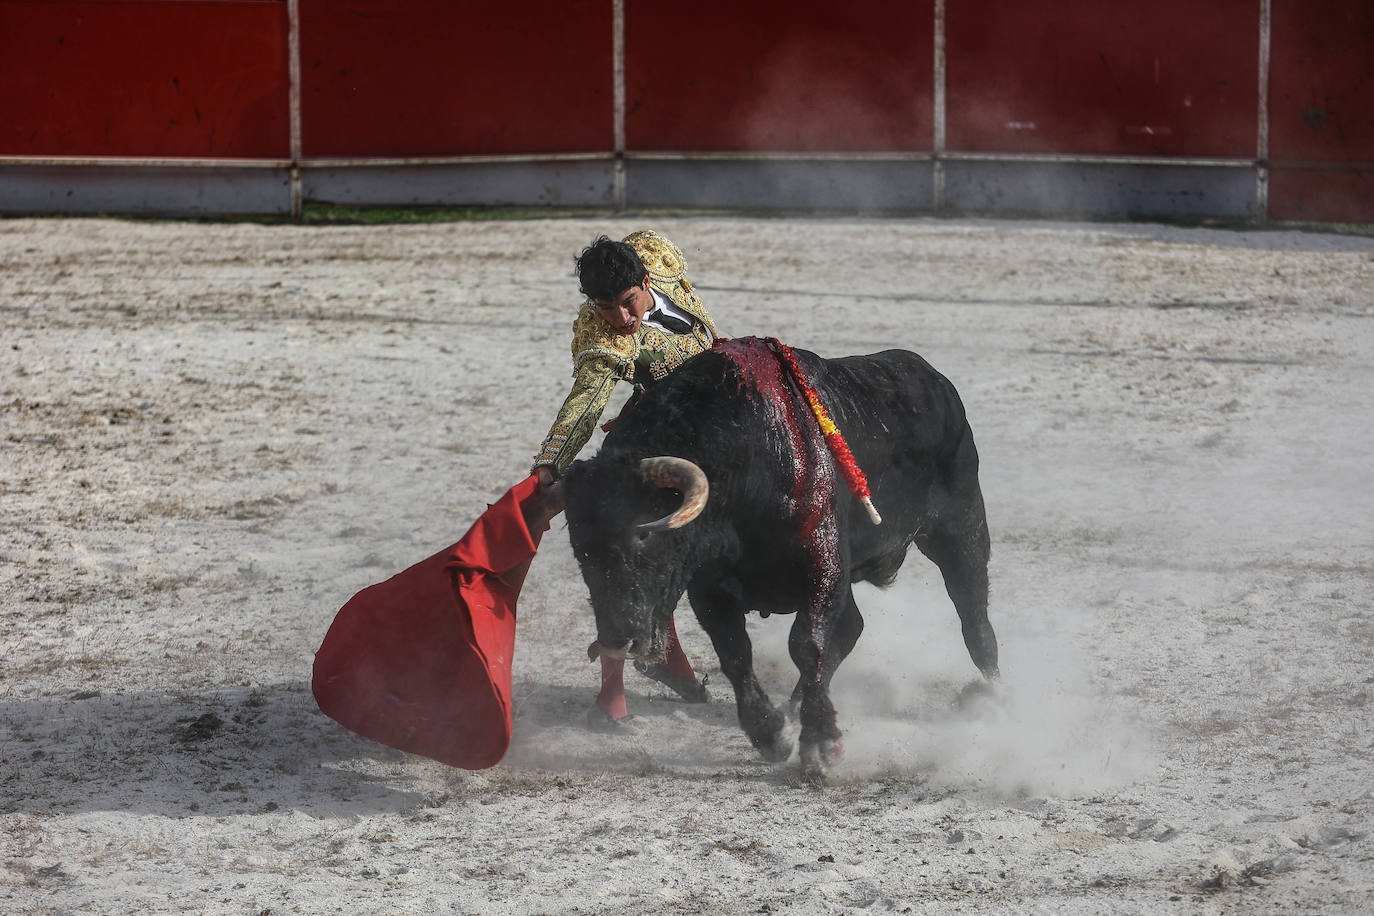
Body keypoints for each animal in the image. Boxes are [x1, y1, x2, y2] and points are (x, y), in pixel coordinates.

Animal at [560, 336, 1000, 774]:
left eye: (642, 535)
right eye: (581, 551)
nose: (617, 637)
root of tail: (935, 380)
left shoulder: (824, 563)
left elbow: (807, 645)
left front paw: (821, 744)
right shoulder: (709, 586)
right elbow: (736, 653)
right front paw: (771, 733)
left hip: (961, 527)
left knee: (972, 614)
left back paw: (994, 700)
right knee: (852, 627)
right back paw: (794, 706)